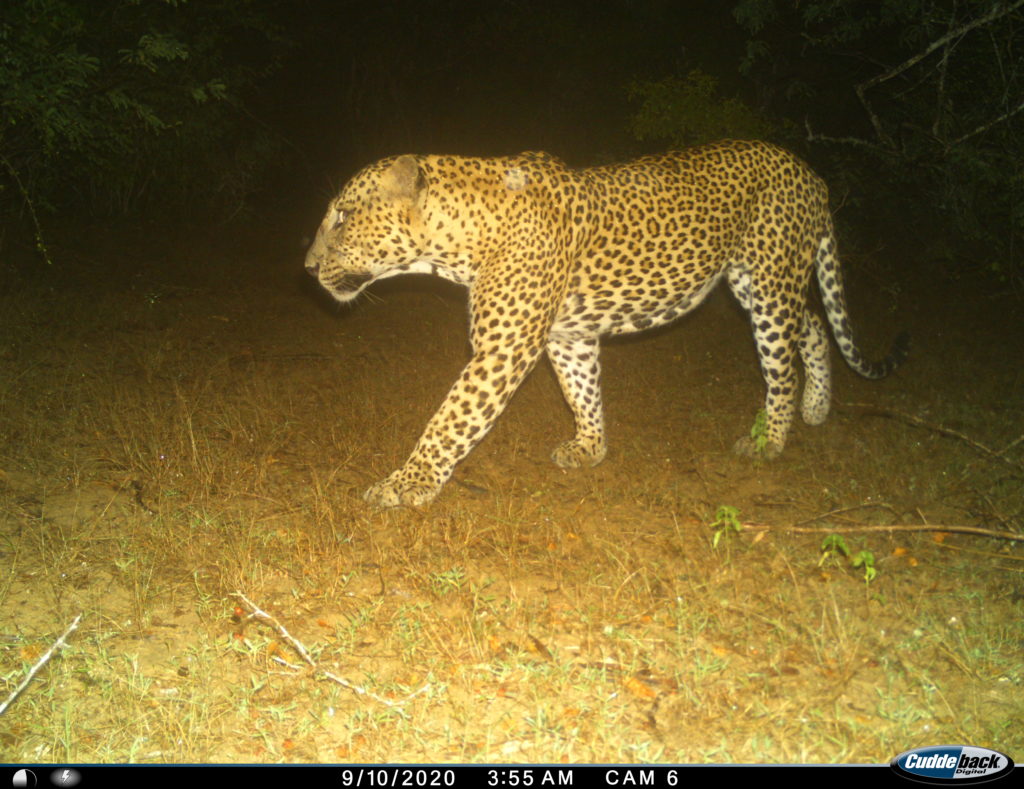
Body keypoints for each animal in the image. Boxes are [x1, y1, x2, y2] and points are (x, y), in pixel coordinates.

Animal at [305, 140, 908, 508]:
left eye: (342, 216)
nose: (307, 267)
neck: (456, 241)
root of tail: (810, 172)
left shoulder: (501, 350)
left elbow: (449, 421)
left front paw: (405, 484)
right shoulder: (567, 336)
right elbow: (582, 390)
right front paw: (591, 448)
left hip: (766, 283)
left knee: (781, 364)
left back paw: (772, 439)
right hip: (758, 280)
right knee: (814, 324)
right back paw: (817, 409)